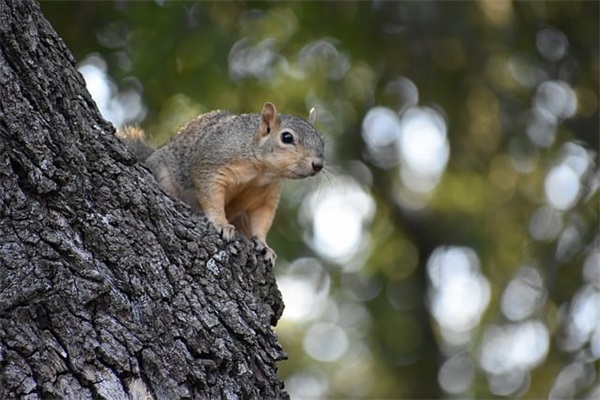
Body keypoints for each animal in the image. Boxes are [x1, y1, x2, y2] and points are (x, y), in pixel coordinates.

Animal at [119, 101, 326, 264]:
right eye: (287, 137)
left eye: (321, 141)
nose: (318, 165)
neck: (262, 170)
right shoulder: (211, 166)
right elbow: (212, 197)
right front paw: (221, 224)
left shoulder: (267, 194)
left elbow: (262, 219)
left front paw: (263, 245)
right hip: (164, 174)